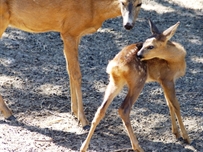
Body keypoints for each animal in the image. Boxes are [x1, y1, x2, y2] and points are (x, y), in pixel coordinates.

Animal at [0, 0, 142, 129]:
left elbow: (69, 70)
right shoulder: (69, 32)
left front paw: (74, 112)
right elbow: (76, 74)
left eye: (139, 4)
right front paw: (83, 120)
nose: (128, 25)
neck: (94, 8)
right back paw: (8, 113)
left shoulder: (74, 34)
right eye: (122, 2)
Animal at [80, 19, 191, 151]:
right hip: (138, 81)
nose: (139, 54)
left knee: (101, 110)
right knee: (124, 109)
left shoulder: (162, 80)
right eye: (144, 44)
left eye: (150, 46)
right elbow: (176, 105)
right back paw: (138, 147)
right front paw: (186, 137)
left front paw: (176, 133)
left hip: (115, 82)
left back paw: (83, 146)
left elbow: (169, 104)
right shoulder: (167, 78)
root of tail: (117, 65)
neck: (177, 59)